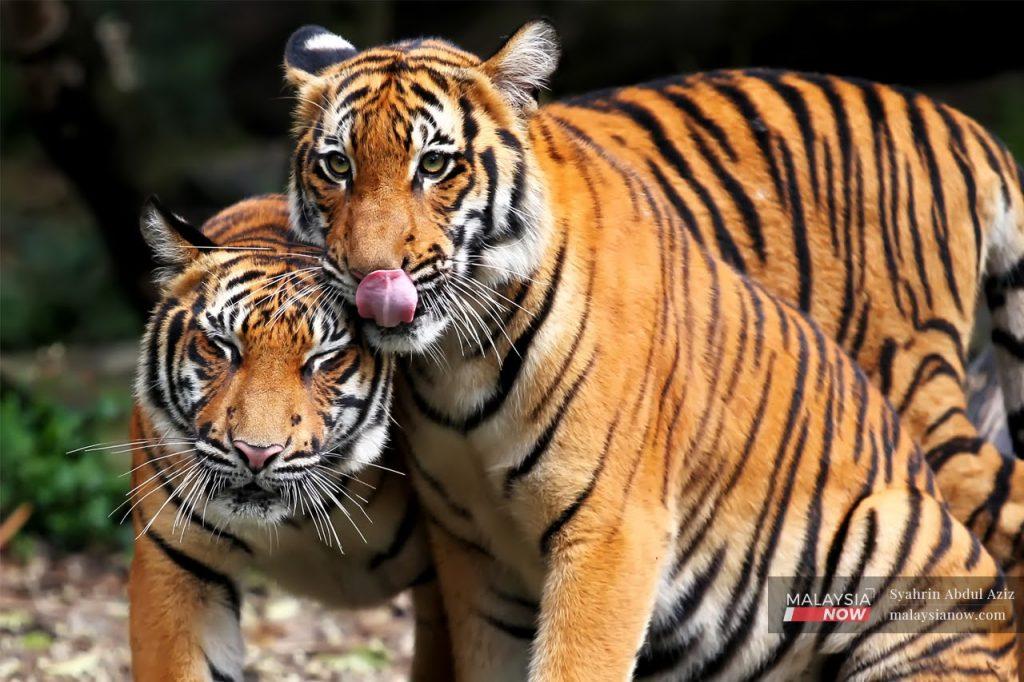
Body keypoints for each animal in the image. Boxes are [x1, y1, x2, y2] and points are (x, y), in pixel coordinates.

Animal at [280, 20, 1024, 679]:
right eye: (337, 165)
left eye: (434, 165)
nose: (371, 276)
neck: (456, 363)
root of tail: (957, 120)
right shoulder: (470, 552)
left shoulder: (610, 533)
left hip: (906, 452)